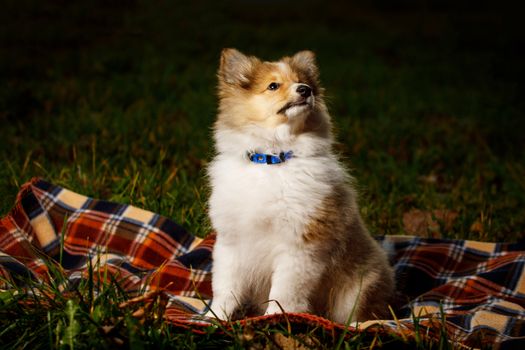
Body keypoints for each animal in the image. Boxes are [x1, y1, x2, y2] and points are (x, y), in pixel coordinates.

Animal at [205, 48, 392, 322]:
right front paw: (213, 318)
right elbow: (225, 287)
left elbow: (284, 291)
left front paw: (274, 318)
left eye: (302, 81)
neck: (272, 160)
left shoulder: (300, 246)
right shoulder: (231, 241)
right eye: (273, 86)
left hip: (357, 291)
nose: (306, 90)